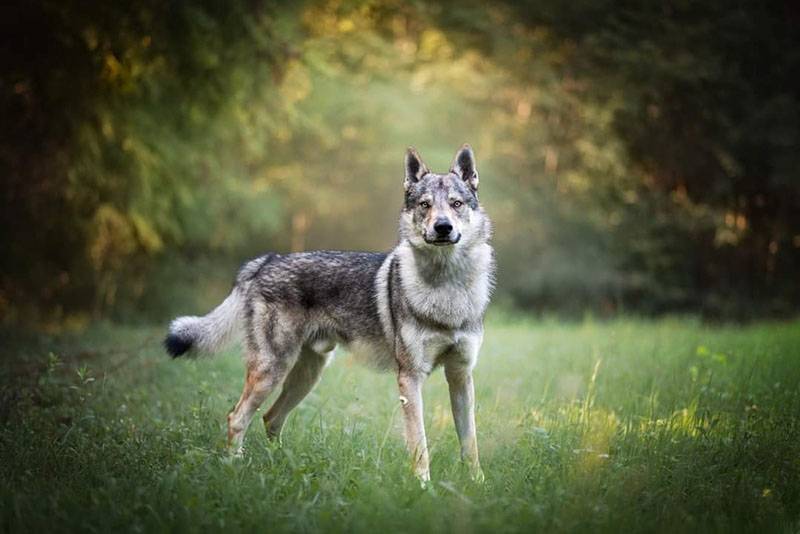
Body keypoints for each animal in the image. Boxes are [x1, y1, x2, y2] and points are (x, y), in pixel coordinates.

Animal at [165, 144, 494, 484]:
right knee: (237, 417)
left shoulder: (460, 374)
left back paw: (279, 466)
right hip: (272, 371)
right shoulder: (410, 378)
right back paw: (234, 469)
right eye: (425, 205)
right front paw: (423, 487)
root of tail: (266, 260)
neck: (447, 288)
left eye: (456, 204)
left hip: (307, 375)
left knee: (270, 418)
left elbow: (470, 442)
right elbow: (420, 443)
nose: (443, 227)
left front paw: (477, 484)